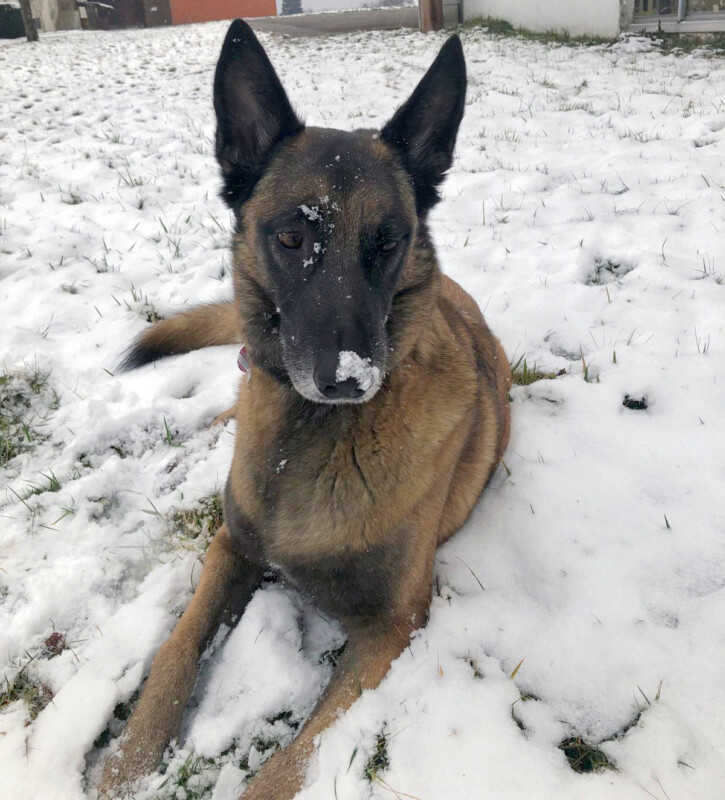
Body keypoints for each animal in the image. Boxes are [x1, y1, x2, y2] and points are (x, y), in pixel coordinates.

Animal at [99, 20, 511, 800]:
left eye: (389, 240)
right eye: (292, 237)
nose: (347, 380)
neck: (310, 438)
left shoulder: (391, 626)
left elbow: (293, 762)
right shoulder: (230, 548)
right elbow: (175, 651)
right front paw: (128, 765)